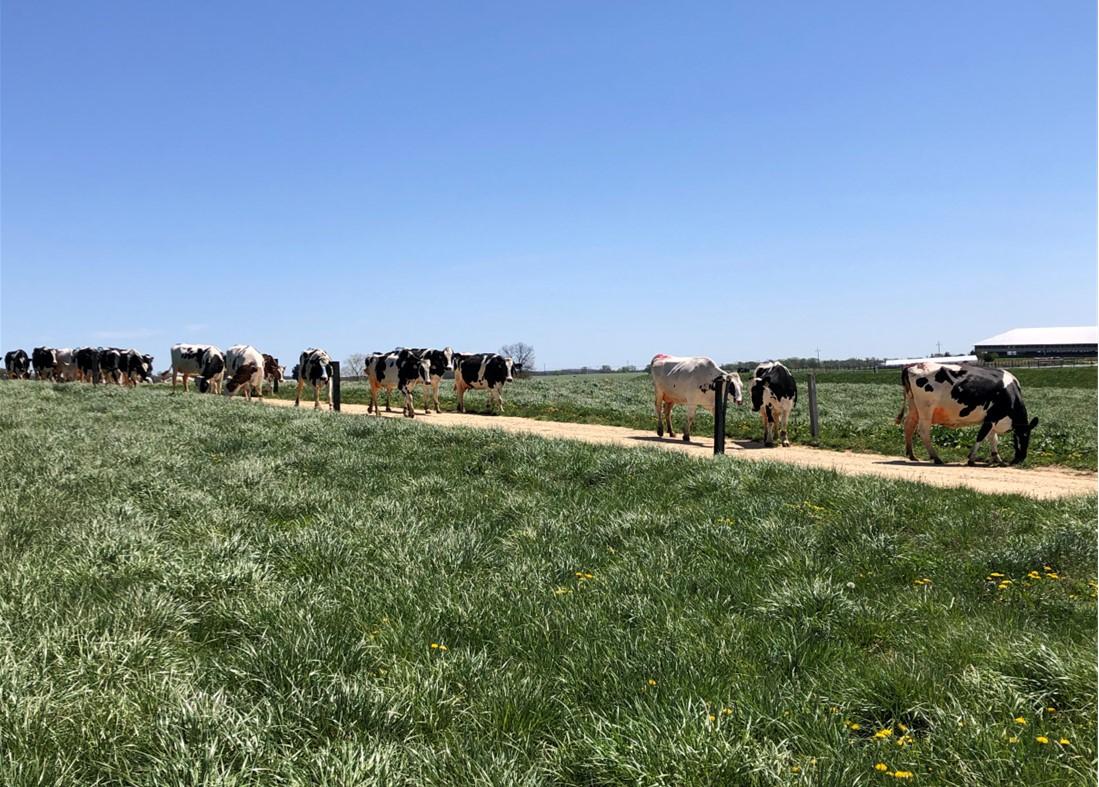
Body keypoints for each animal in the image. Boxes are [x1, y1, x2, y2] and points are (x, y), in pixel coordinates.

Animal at [892, 362, 1037, 468]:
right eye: (1023, 437)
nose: (1021, 458)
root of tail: (912, 366)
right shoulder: (991, 417)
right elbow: (981, 436)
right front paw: (971, 459)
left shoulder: (991, 418)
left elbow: (993, 438)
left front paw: (997, 459)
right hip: (926, 410)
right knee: (923, 431)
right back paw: (936, 457)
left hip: (913, 407)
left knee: (909, 425)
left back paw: (911, 455)